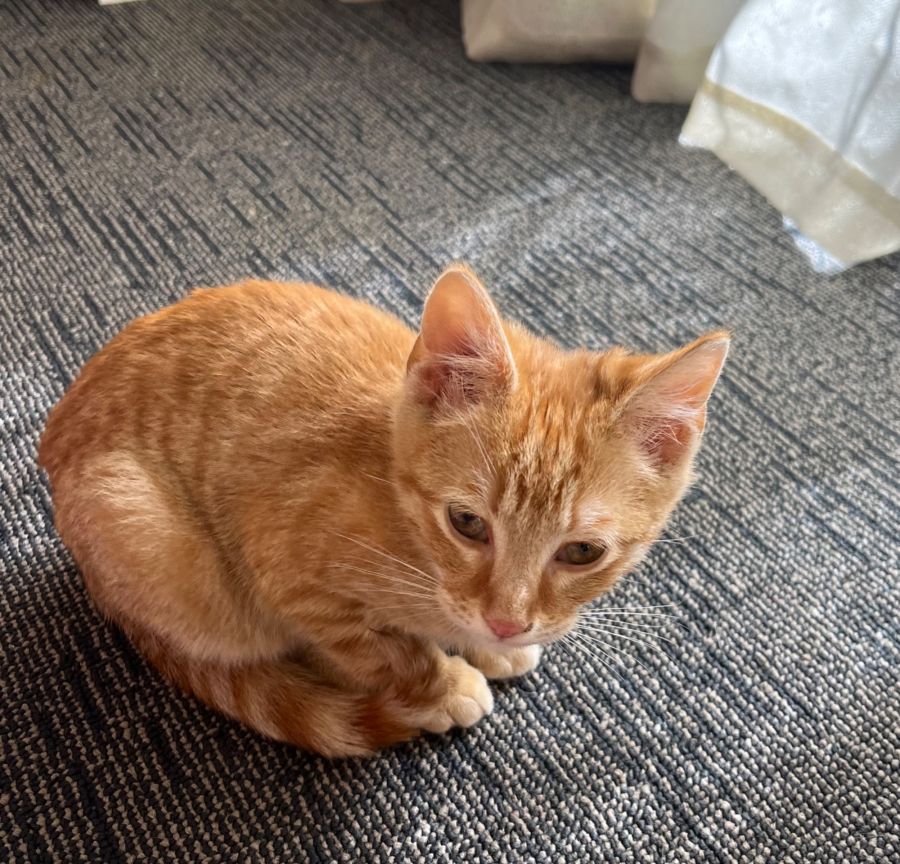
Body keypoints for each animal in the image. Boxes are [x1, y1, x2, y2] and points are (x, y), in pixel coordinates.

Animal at [39, 263, 729, 757]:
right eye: (467, 523)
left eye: (582, 552)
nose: (506, 624)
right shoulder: (289, 573)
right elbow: (381, 653)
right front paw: (443, 685)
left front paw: (486, 649)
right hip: (152, 539)